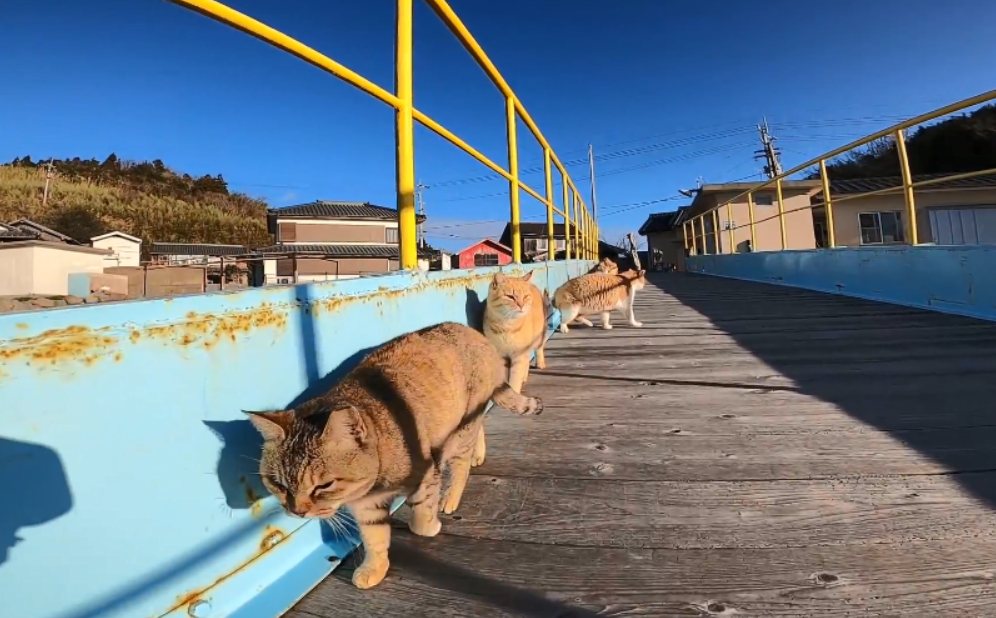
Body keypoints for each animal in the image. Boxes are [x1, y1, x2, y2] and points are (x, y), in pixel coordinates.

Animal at [247, 322, 544, 588]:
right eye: (278, 484)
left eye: (324, 485)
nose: (297, 512)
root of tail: (477, 336)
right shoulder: (367, 506)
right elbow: (375, 537)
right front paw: (375, 568)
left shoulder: (427, 472)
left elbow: (422, 514)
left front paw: (428, 525)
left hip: (461, 429)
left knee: (461, 463)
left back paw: (452, 495)